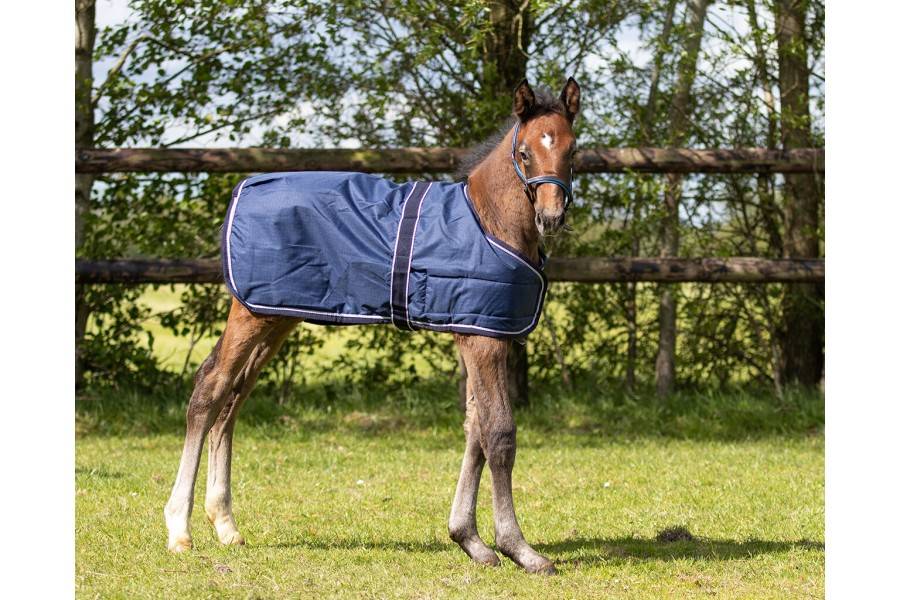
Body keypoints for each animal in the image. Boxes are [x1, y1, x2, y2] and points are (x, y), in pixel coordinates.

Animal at [164, 77, 580, 575]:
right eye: (524, 153)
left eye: (573, 150)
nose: (551, 217)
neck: (488, 222)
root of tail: (244, 187)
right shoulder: (483, 342)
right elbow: (498, 434)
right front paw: (518, 548)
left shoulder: (482, 334)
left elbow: (474, 431)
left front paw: (470, 541)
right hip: (252, 314)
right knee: (211, 388)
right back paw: (180, 529)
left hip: (274, 315)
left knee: (234, 398)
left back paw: (225, 524)